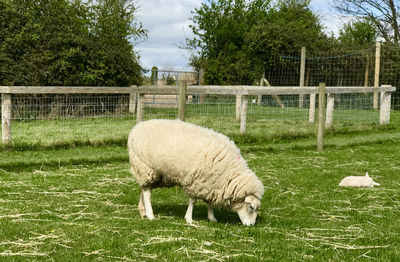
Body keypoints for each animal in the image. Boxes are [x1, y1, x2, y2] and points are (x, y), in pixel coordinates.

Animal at [129, 119, 266, 226]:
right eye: (251, 207)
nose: (251, 225)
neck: (229, 173)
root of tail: (137, 127)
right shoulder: (195, 182)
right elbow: (192, 201)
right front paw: (189, 219)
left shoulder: (211, 184)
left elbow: (209, 202)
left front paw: (212, 217)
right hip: (145, 167)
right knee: (147, 193)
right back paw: (150, 215)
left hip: (154, 174)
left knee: (144, 189)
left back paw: (143, 211)